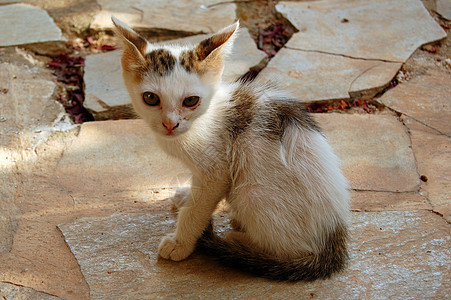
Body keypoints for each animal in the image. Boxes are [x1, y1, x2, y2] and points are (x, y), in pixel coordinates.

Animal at [111, 17, 352, 282]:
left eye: (190, 101)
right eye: (151, 98)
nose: (170, 124)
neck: (201, 121)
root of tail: (335, 239)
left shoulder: (217, 171)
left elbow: (196, 210)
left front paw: (180, 243)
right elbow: (195, 191)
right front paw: (186, 196)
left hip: (248, 193)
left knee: (290, 249)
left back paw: (238, 240)